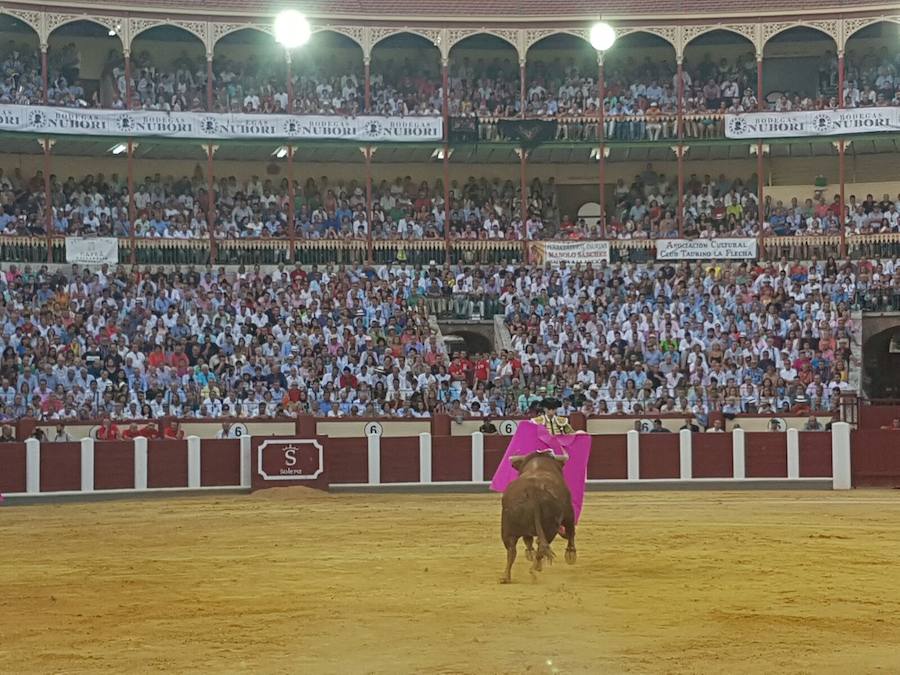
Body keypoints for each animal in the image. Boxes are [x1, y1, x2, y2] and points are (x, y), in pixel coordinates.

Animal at [500, 452, 576, 584]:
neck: (539, 467)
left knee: (511, 550)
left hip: (508, 529)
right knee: (542, 545)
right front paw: (571, 555)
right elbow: (571, 531)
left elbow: (528, 540)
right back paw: (535, 568)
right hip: (550, 528)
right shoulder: (569, 512)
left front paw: (530, 553)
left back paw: (506, 577)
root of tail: (533, 490)